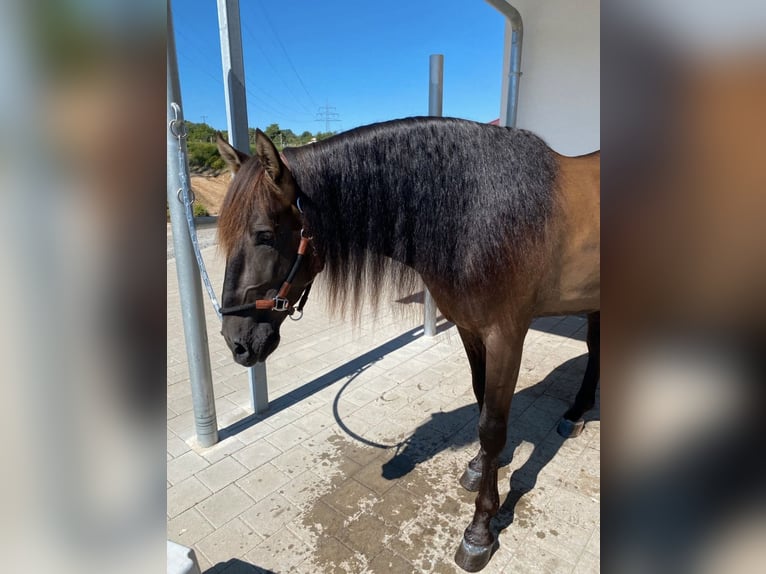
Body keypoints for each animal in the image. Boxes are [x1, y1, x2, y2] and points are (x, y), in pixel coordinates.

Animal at [214, 117, 600, 572]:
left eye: (264, 235)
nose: (237, 343)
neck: (477, 214)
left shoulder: (506, 335)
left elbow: (492, 426)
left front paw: (480, 531)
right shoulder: (471, 329)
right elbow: (481, 400)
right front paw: (477, 468)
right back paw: (575, 413)